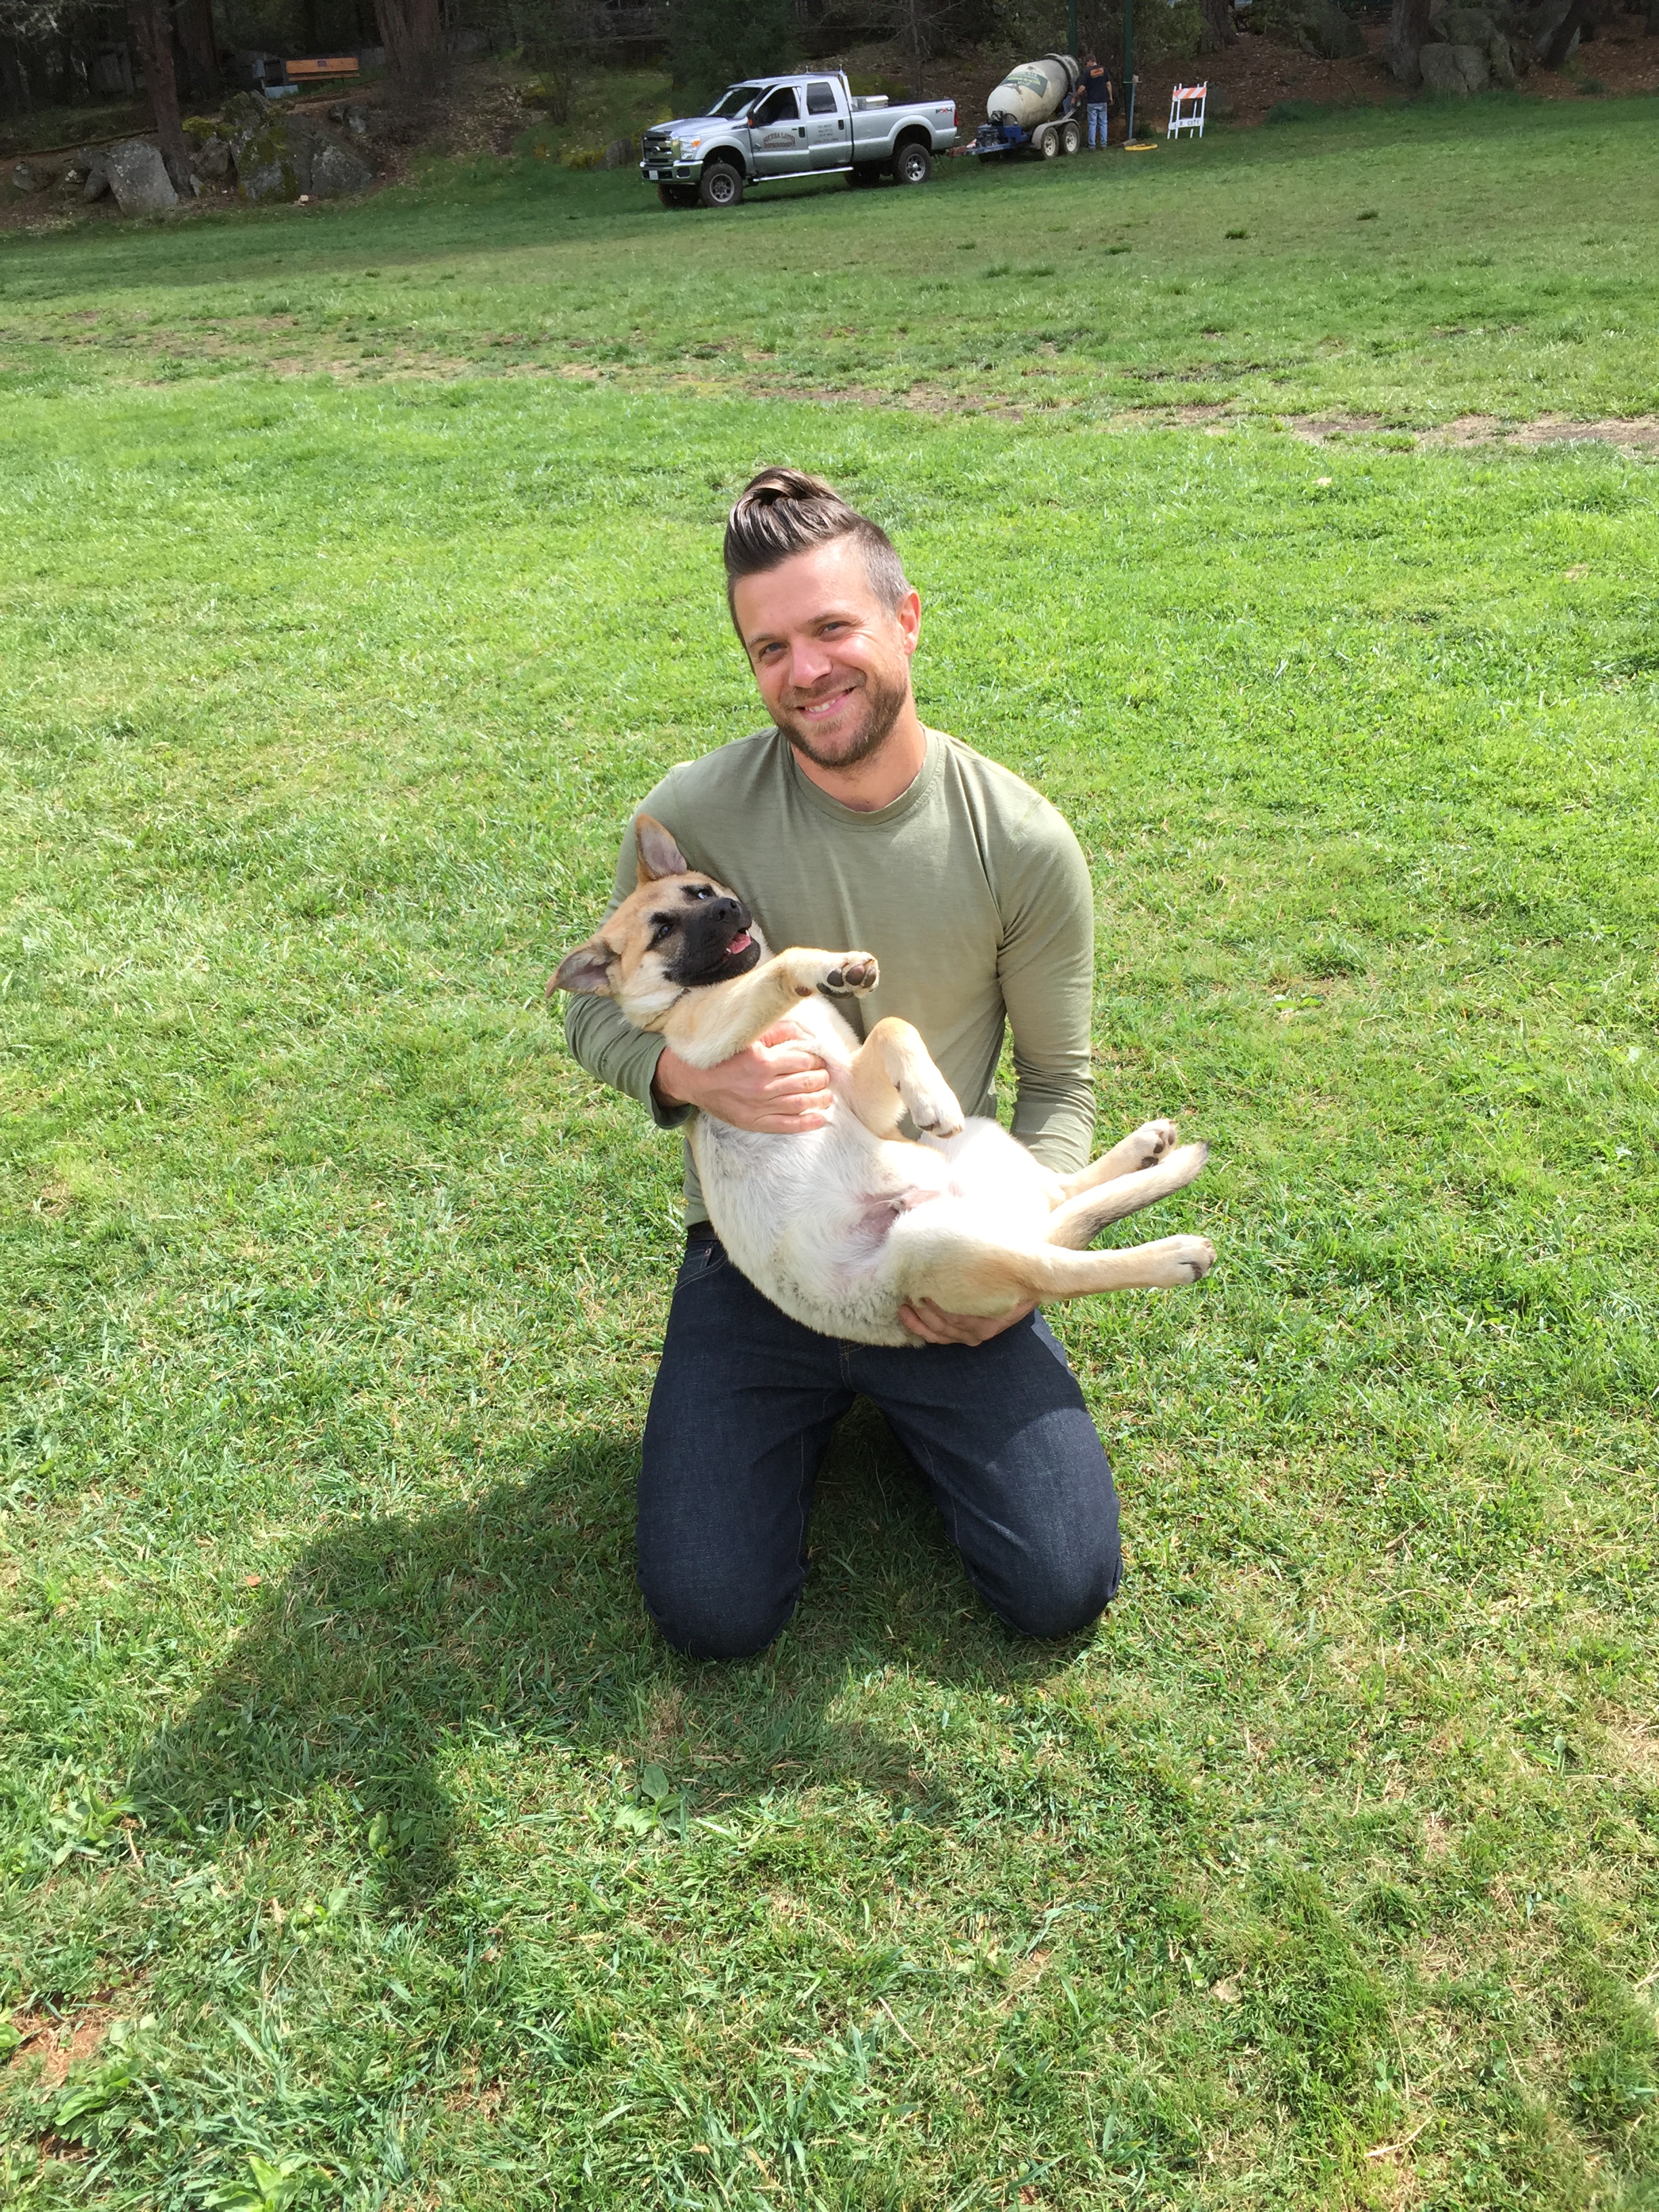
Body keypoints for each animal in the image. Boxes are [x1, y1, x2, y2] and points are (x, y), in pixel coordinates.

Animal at [552, 814, 1215, 1347]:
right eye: (663, 930)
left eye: (703, 891)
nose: (726, 909)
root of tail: (1009, 1223)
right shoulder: (710, 1039)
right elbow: (793, 965)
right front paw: (830, 966)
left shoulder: (859, 1096)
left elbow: (894, 1026)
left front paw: (924, 1084)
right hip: (932, 1245)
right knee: (1055, 1271)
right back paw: (1173, 1256)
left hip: (978, 1149)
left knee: (1060, 1194)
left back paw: (1146, 1149)